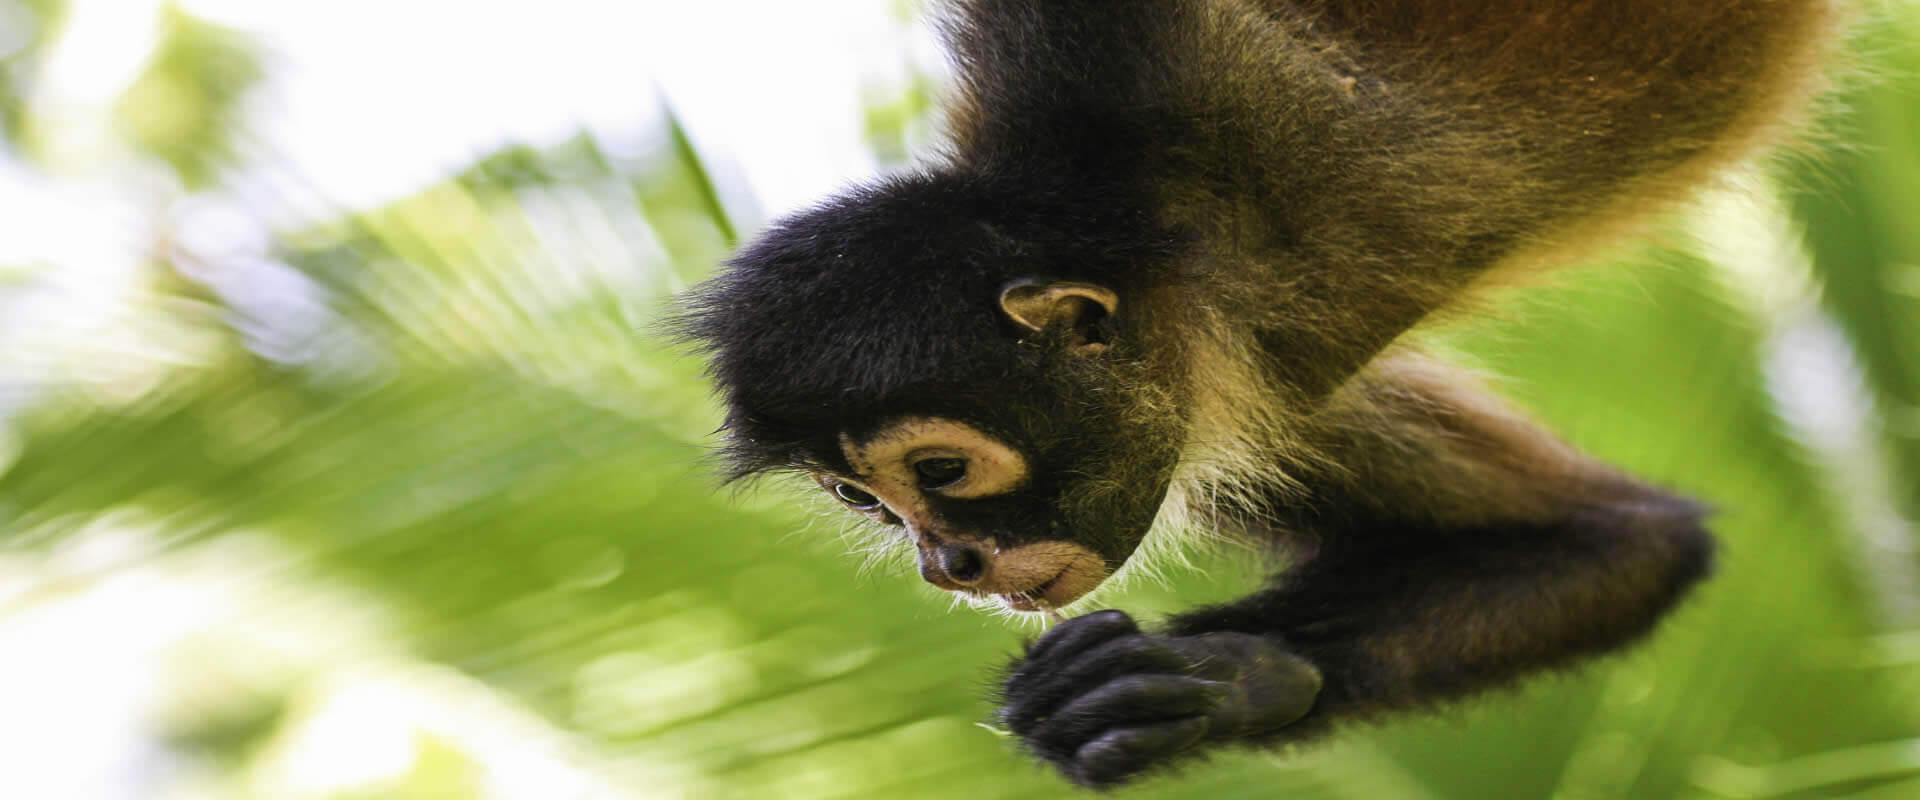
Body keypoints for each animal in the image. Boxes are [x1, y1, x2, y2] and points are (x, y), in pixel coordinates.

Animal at [672, 0, 1843, 786]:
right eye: (866, 503)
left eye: (944, 468)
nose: (945, 562)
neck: (1172, 233)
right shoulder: (1236, 387)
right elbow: (1623, 542)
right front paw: (1228, 677)